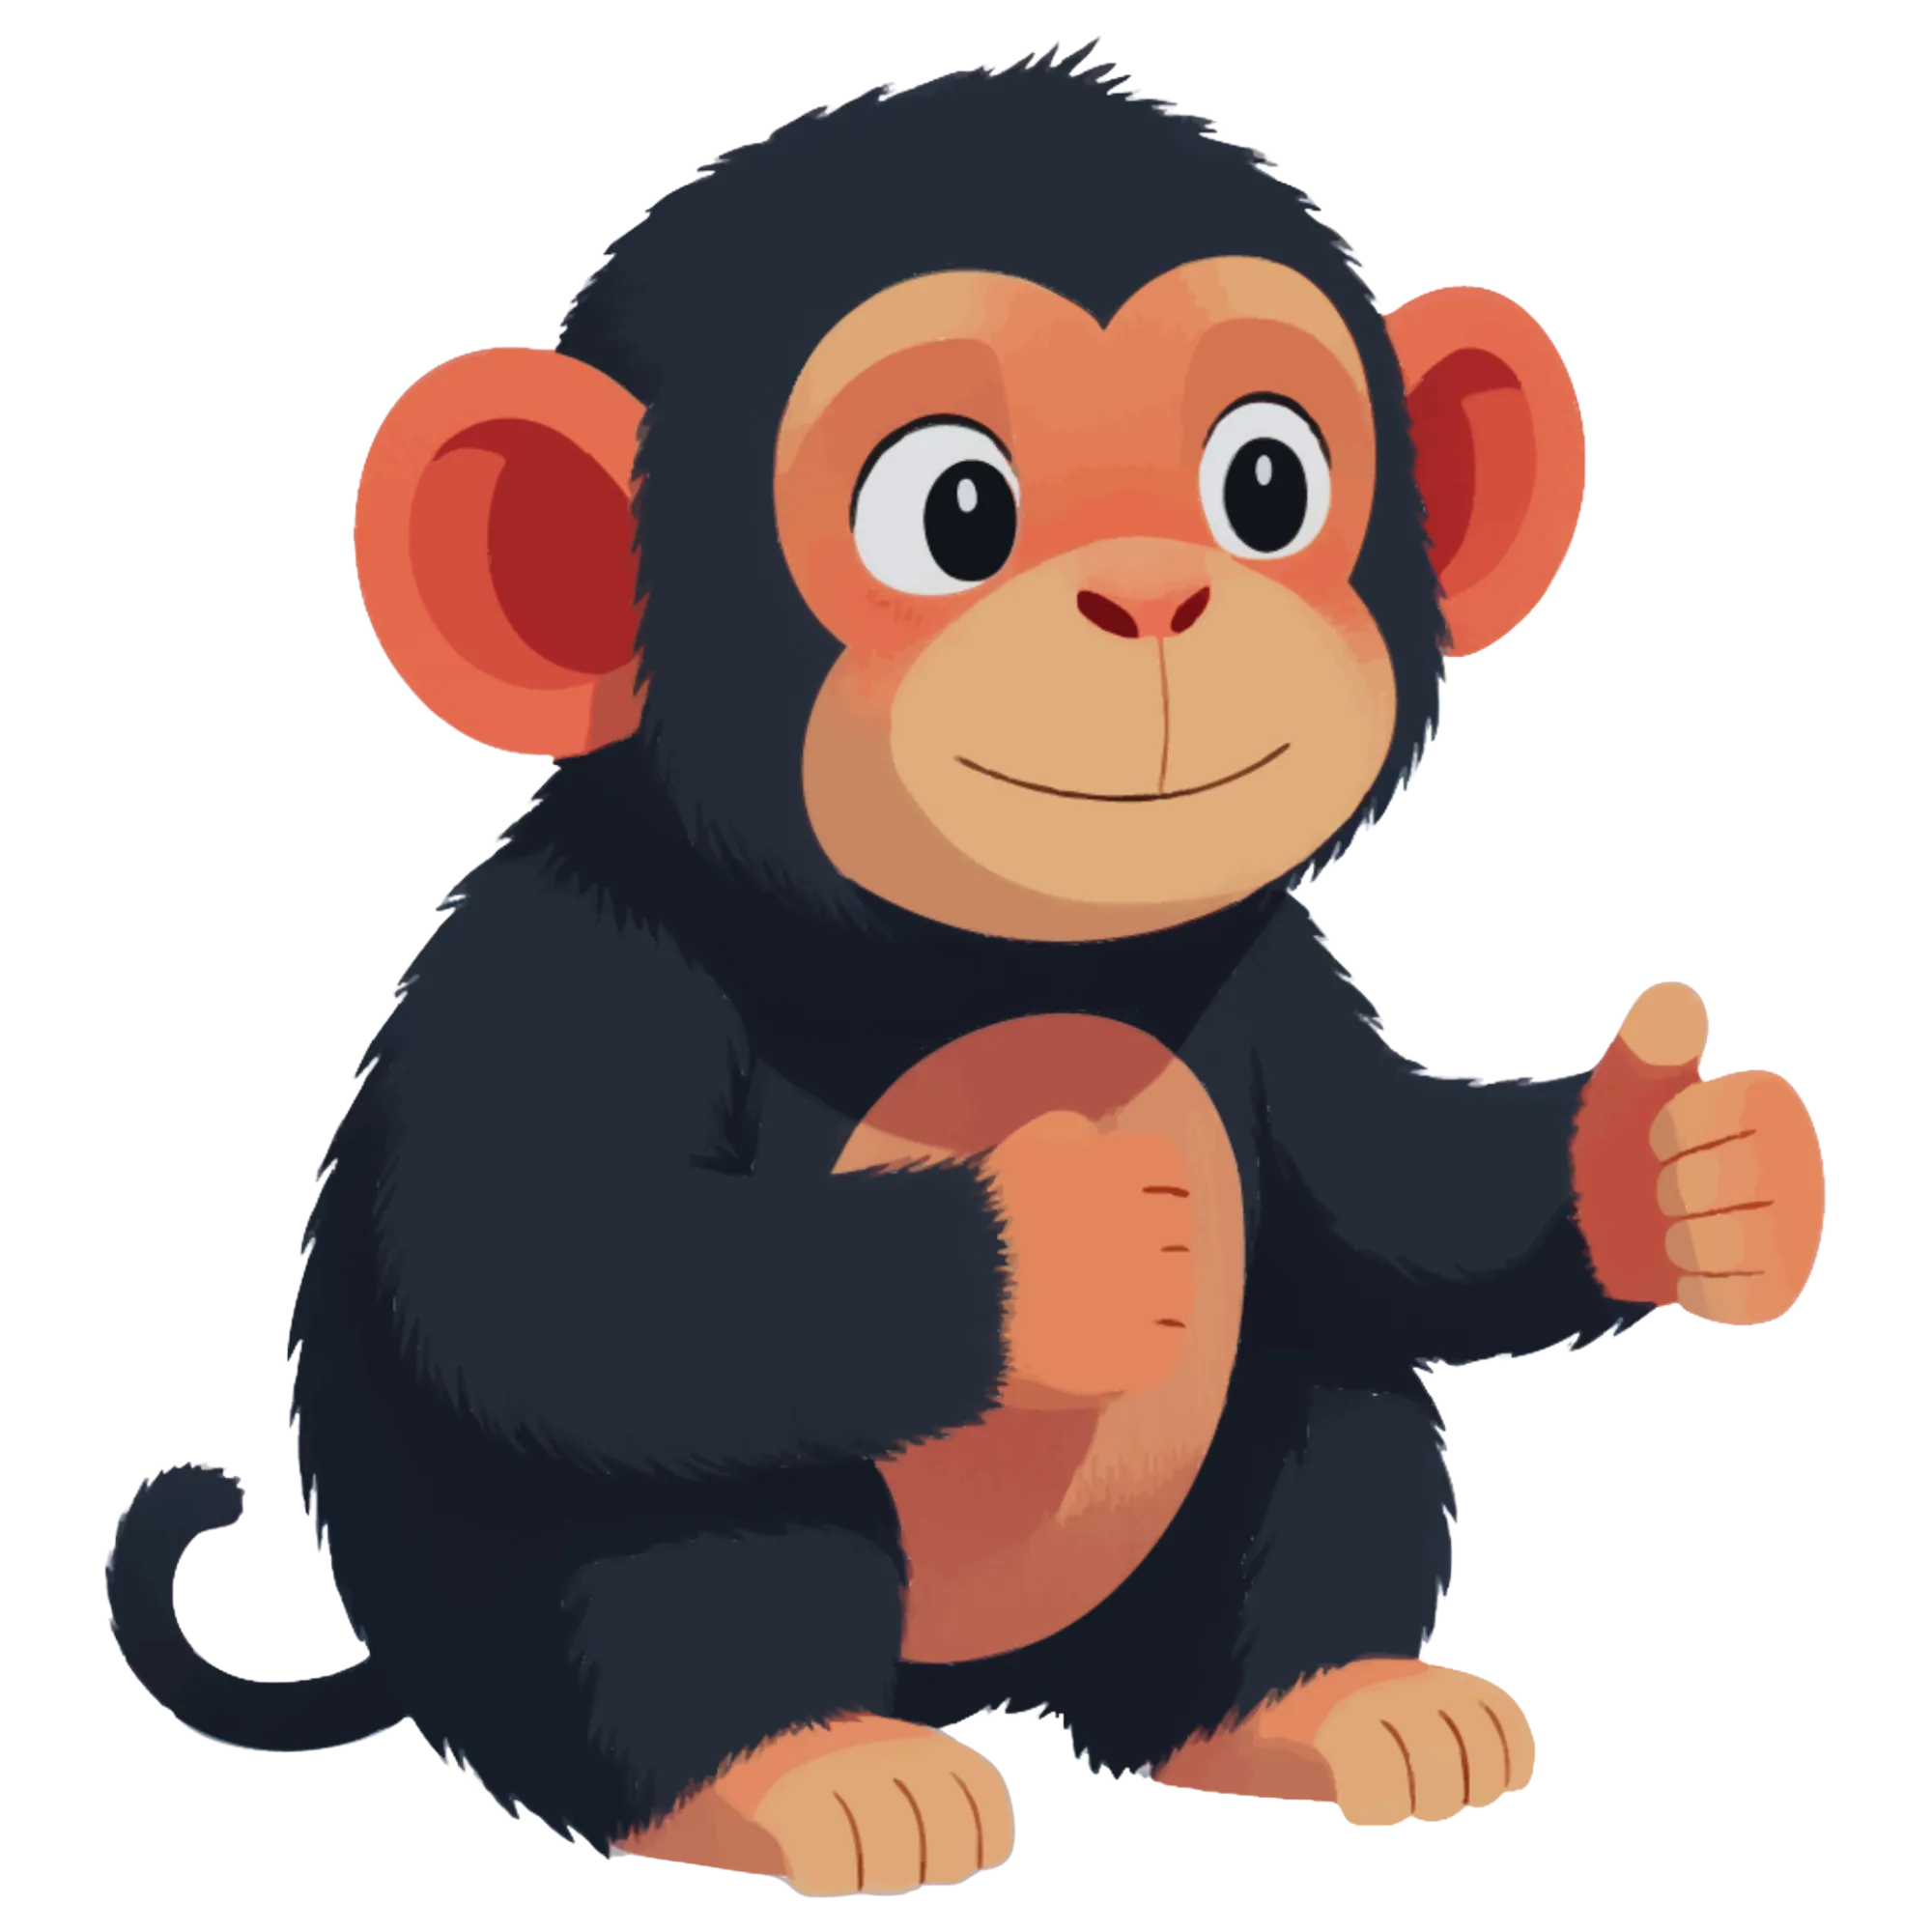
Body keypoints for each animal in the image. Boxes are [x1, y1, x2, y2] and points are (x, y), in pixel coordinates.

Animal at [104, 46, 1827, 1893]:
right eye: (953, 511)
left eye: (1268, 485)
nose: (1152, 597)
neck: (969, 963)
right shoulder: (574, 964)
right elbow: (549, 1274)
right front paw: (1059, 1240)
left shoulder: (1268, 973)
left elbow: (1388, 1192)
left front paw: (1671, 1163)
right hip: (567, 1624)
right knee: (703, 1509)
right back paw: (798, 1769)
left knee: (1321, 1388)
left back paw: (1313, 1703)